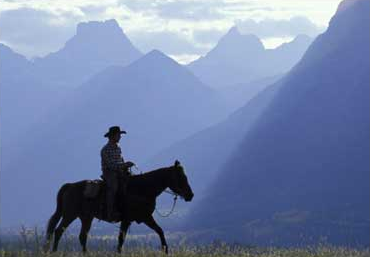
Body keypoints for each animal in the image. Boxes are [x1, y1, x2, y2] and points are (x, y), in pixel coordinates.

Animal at [44, 159, 194, 253]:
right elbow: (121, 239)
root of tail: (69, 186)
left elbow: (160, 231)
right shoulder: (128, 219)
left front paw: (165, 250)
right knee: (59, 231)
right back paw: (54, 251)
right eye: (181, 177)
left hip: (86, 217)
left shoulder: (146, 218)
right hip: (70, 215)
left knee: (82, 236)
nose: (190, 195)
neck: (142, 189)